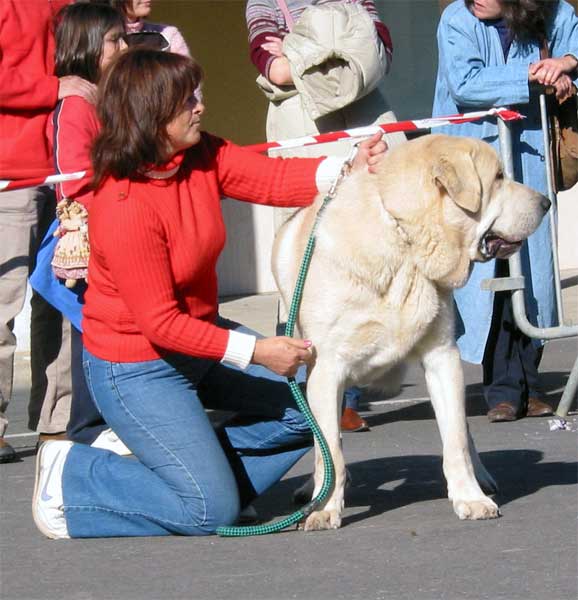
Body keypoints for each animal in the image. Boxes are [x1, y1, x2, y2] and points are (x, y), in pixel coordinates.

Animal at [270, 135, 548, 528]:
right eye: (497, 178)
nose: (546, 203)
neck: (405, 243)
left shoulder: (443, 357)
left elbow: (456, 439)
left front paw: (469, 497)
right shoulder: (325, 370)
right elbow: (331, 450)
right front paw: (324, 506)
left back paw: (481, 478)